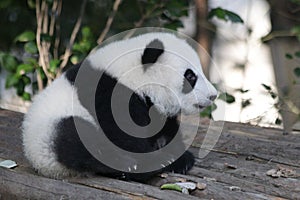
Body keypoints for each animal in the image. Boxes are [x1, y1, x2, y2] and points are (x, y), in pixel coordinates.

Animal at [22, 32, 217, 182]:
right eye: (190, 76)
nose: (213, 95)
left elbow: (163, 128)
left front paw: (181, 157)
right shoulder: (107, 92)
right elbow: (123, 133)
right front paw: (166, 159)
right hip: (49, 132)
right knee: (78, 141)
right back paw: (138, 166)